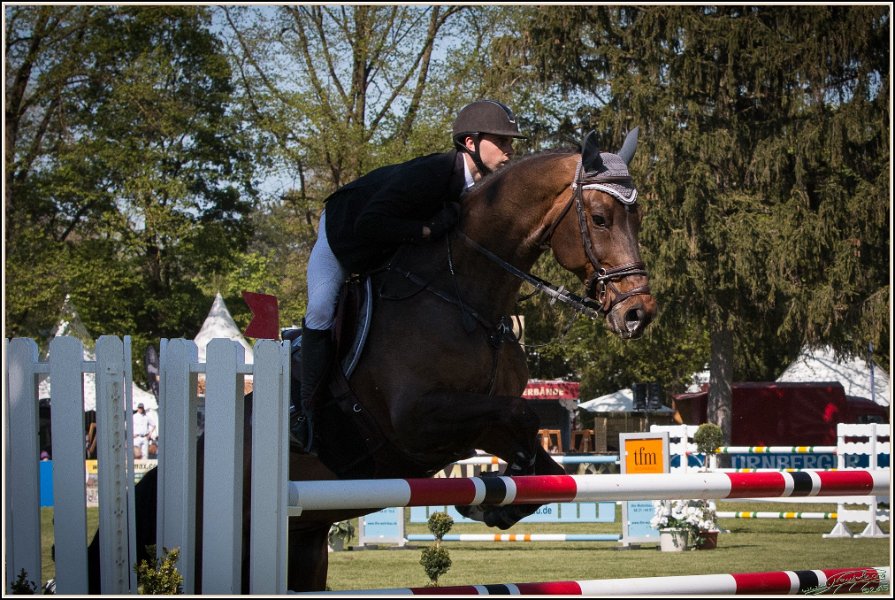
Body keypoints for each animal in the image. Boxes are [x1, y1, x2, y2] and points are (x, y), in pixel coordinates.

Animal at [87, 129, 657, 593]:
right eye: (600, 218)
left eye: (638, 216)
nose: (638, 313)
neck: (464, 295)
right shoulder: (415, 421)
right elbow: (518, 420)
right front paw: (486, 496)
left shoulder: (473, 420)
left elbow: (539, 457)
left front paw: (500, 497)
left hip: (304, 549)